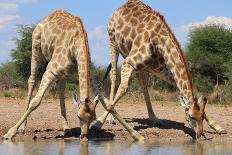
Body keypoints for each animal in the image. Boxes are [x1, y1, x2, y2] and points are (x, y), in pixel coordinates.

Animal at [2, 9, 99, 140]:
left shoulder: (79, 73)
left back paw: (66, 128)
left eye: (93, 118)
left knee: (61, 90)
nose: (84, 137)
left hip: (62, 73)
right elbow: (35, 101)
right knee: (32, 80)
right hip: (36, 46)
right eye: (78, 116)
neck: (77, 44)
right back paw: (22, 127)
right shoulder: (50, 71)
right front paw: (10, 133)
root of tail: (47, 17)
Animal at [92, 0, 225, 140]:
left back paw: (154, 118)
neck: (159, 41)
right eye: (191, 117)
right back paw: (110, 118)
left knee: (143, 83)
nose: (200, 135)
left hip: (143, 66)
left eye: (203, 117)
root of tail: (122, 6)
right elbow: (123, 89)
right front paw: (97, 122)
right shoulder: (128, 63)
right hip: (112, 41)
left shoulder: (160, 69)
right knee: (113, 75)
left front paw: (218, 127)